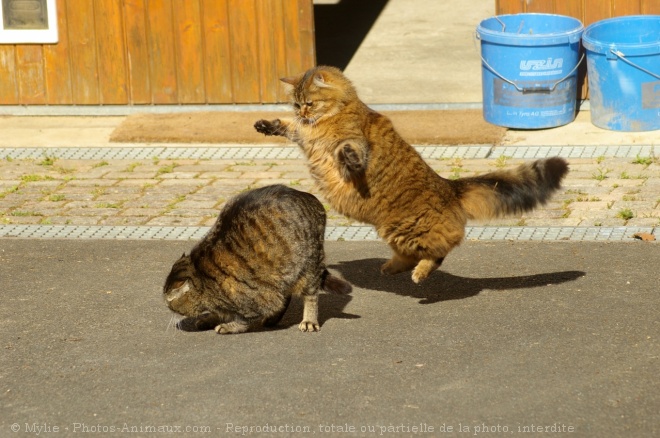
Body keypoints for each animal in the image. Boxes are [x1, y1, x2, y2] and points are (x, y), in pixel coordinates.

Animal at [163, 183, 354, 334]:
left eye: (168, 300)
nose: (165, 306)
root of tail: (310, 198)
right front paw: (210, 318)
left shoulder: (258, 299)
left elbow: (242, 320)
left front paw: (228, 326)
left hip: (309, 267)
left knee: (310, 296)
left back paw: (308, 321)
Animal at [253, 65, 568, 284]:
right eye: (296, 104)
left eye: (310, 103)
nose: (303, 113)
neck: (331, 115)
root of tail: (449, 186)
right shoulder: (304, 135)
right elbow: (288, 127)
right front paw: (268, 125)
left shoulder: (350, 139)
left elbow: (348, 149)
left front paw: (350, 161)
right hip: (391, 231)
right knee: (415, 254)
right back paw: (391, 268)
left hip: (411, 229)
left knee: (442, 250)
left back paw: (420, 273)